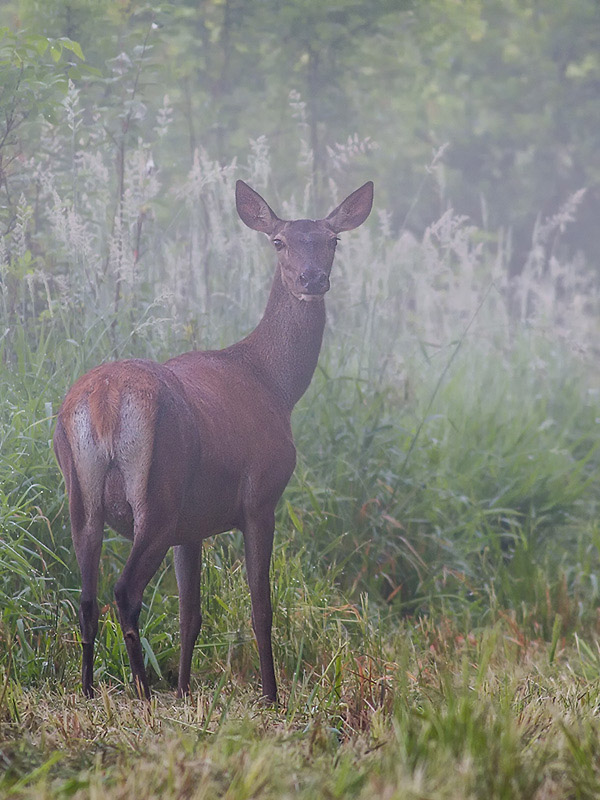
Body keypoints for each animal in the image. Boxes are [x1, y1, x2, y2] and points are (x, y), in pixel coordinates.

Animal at [54, 178, 372, 704]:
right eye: (278, 241)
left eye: (333, 240)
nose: (312, 279)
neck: (276, 384)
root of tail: (105, 400)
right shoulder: (260, 496)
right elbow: (261, 606)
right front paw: (271, 696)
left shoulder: (193, 525)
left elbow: (191, 614)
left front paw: (185, 692)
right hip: (158, 494)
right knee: (124, 591)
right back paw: (143, 692)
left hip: (81, 495)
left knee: (86, 596)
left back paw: (89, 691)